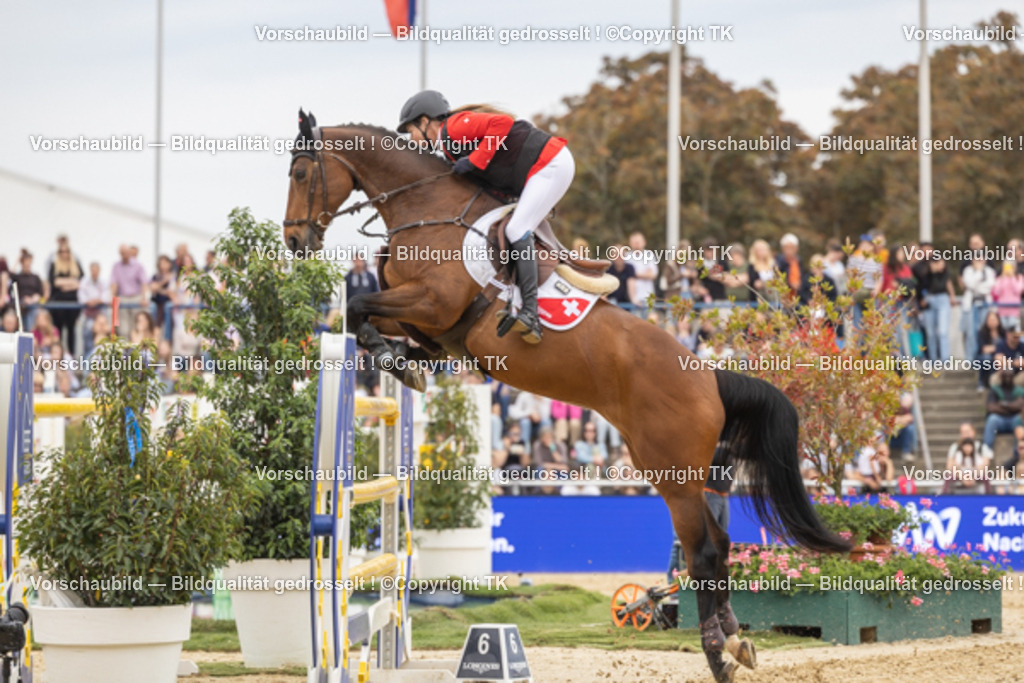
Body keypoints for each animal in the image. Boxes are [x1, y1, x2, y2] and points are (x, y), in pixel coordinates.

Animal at [283, 112, 851, 682]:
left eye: (301, 173)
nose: (293, 240)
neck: (425, 209)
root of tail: (708, 375)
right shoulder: (425, 318)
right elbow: (370, 316)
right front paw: (403, 361)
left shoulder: (432, 301)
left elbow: (358, 306)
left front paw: (396, 361)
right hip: (672, 469)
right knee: (722, 545)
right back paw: (736, 639)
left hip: (675, 475)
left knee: (704, 553)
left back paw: (717, 654)